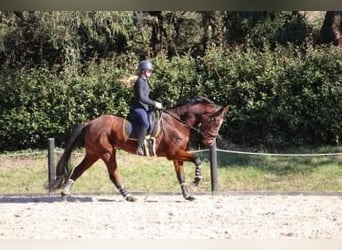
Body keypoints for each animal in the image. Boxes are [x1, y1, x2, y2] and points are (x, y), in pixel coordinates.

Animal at [46, 95, 228, 201]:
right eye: (215, 122)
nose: (209, 143)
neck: (178, 122)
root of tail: (89, 123)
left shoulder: (177, 155)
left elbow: (180, 175)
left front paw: (188, 194)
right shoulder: (174, 153)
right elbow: (197, 159)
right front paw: (196, 181)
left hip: (93, 153)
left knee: (78, 169)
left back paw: (65, 193)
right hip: (107, 153)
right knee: (113, 174)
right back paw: (128, 196)